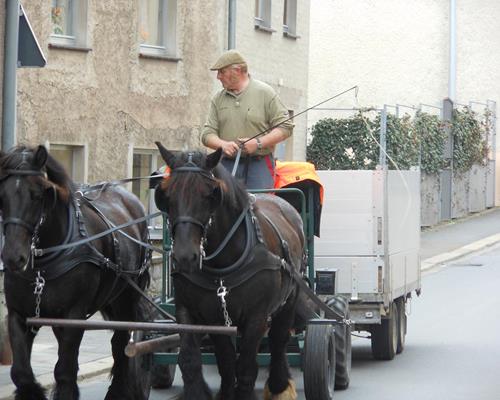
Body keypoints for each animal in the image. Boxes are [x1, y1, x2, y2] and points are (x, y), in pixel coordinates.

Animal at [0, 146, 151, 400]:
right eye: (2, 195)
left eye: (37, 195)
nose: (12, 257)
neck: (44, 263)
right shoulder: (18, 315)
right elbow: (21, 372)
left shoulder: (74, 315)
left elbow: (64, 370)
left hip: (126, 298)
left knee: (122, 342)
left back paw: (121, 390)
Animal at [154, 142, 304, 398]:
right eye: (167, 196)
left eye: (209, 195)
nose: (185, 257)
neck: (222, 266)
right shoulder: (201, 314)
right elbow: (203, 361)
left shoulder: (257, 317)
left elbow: (245, 368)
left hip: (289, 301)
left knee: (278, 341)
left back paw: (279, 385)